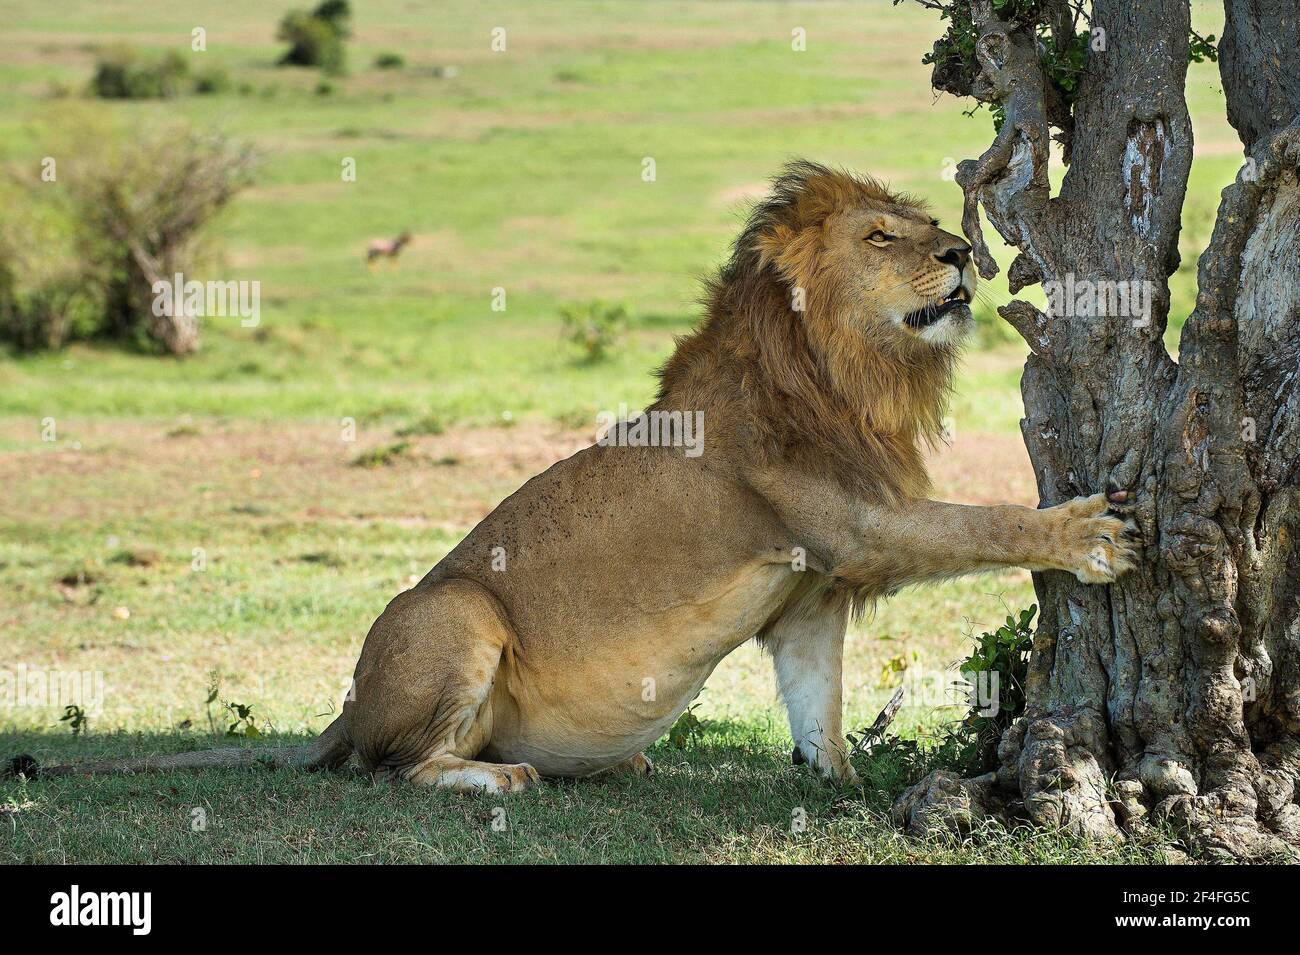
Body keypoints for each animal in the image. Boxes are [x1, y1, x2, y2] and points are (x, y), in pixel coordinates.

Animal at [10, 162, 1133, 789]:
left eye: (928, 223)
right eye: (882, 235)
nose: (962, 254)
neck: (846, 372)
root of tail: (345, 706)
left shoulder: (811, 593)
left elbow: (818, 704)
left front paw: (842, 787)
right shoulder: (858, 526)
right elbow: (977, 522)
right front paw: (1084, 533)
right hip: (453, 615)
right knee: (394, 765)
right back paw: (497, 779)